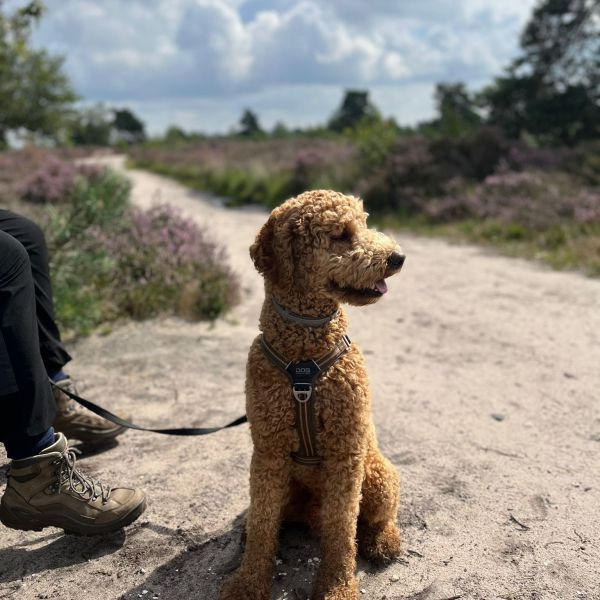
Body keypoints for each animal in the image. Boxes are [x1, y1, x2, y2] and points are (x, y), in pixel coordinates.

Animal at [223, 190, 406, 600]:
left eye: (365, 224)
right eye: (341, 235)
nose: (398, 257)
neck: (304, 356)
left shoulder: (345, 455)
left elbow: (342, 531)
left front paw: (336, 587)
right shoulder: (268, 452)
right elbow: (263, 524)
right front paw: (248, 582)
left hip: (379, 474)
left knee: (377, 517)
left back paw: (383, 541)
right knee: (270, 518)